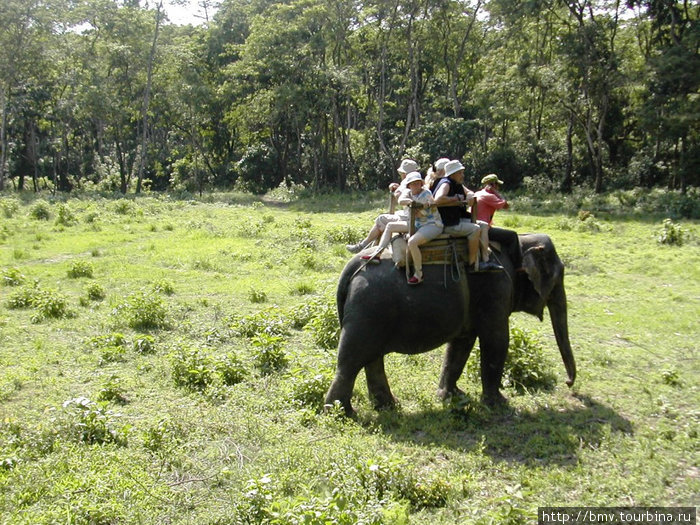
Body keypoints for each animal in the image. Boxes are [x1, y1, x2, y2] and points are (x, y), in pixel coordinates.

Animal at [322, 231, 576, 416]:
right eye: (558, 276)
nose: (568, 383)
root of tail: (353, 266)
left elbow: (461, 344)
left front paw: (450, 396)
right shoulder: (496, 288)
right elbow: (497, 340)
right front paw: (499, 404)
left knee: (371, 359)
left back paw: (388, 406)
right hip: (368, 310)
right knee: (351, 360)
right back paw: (343, 414)